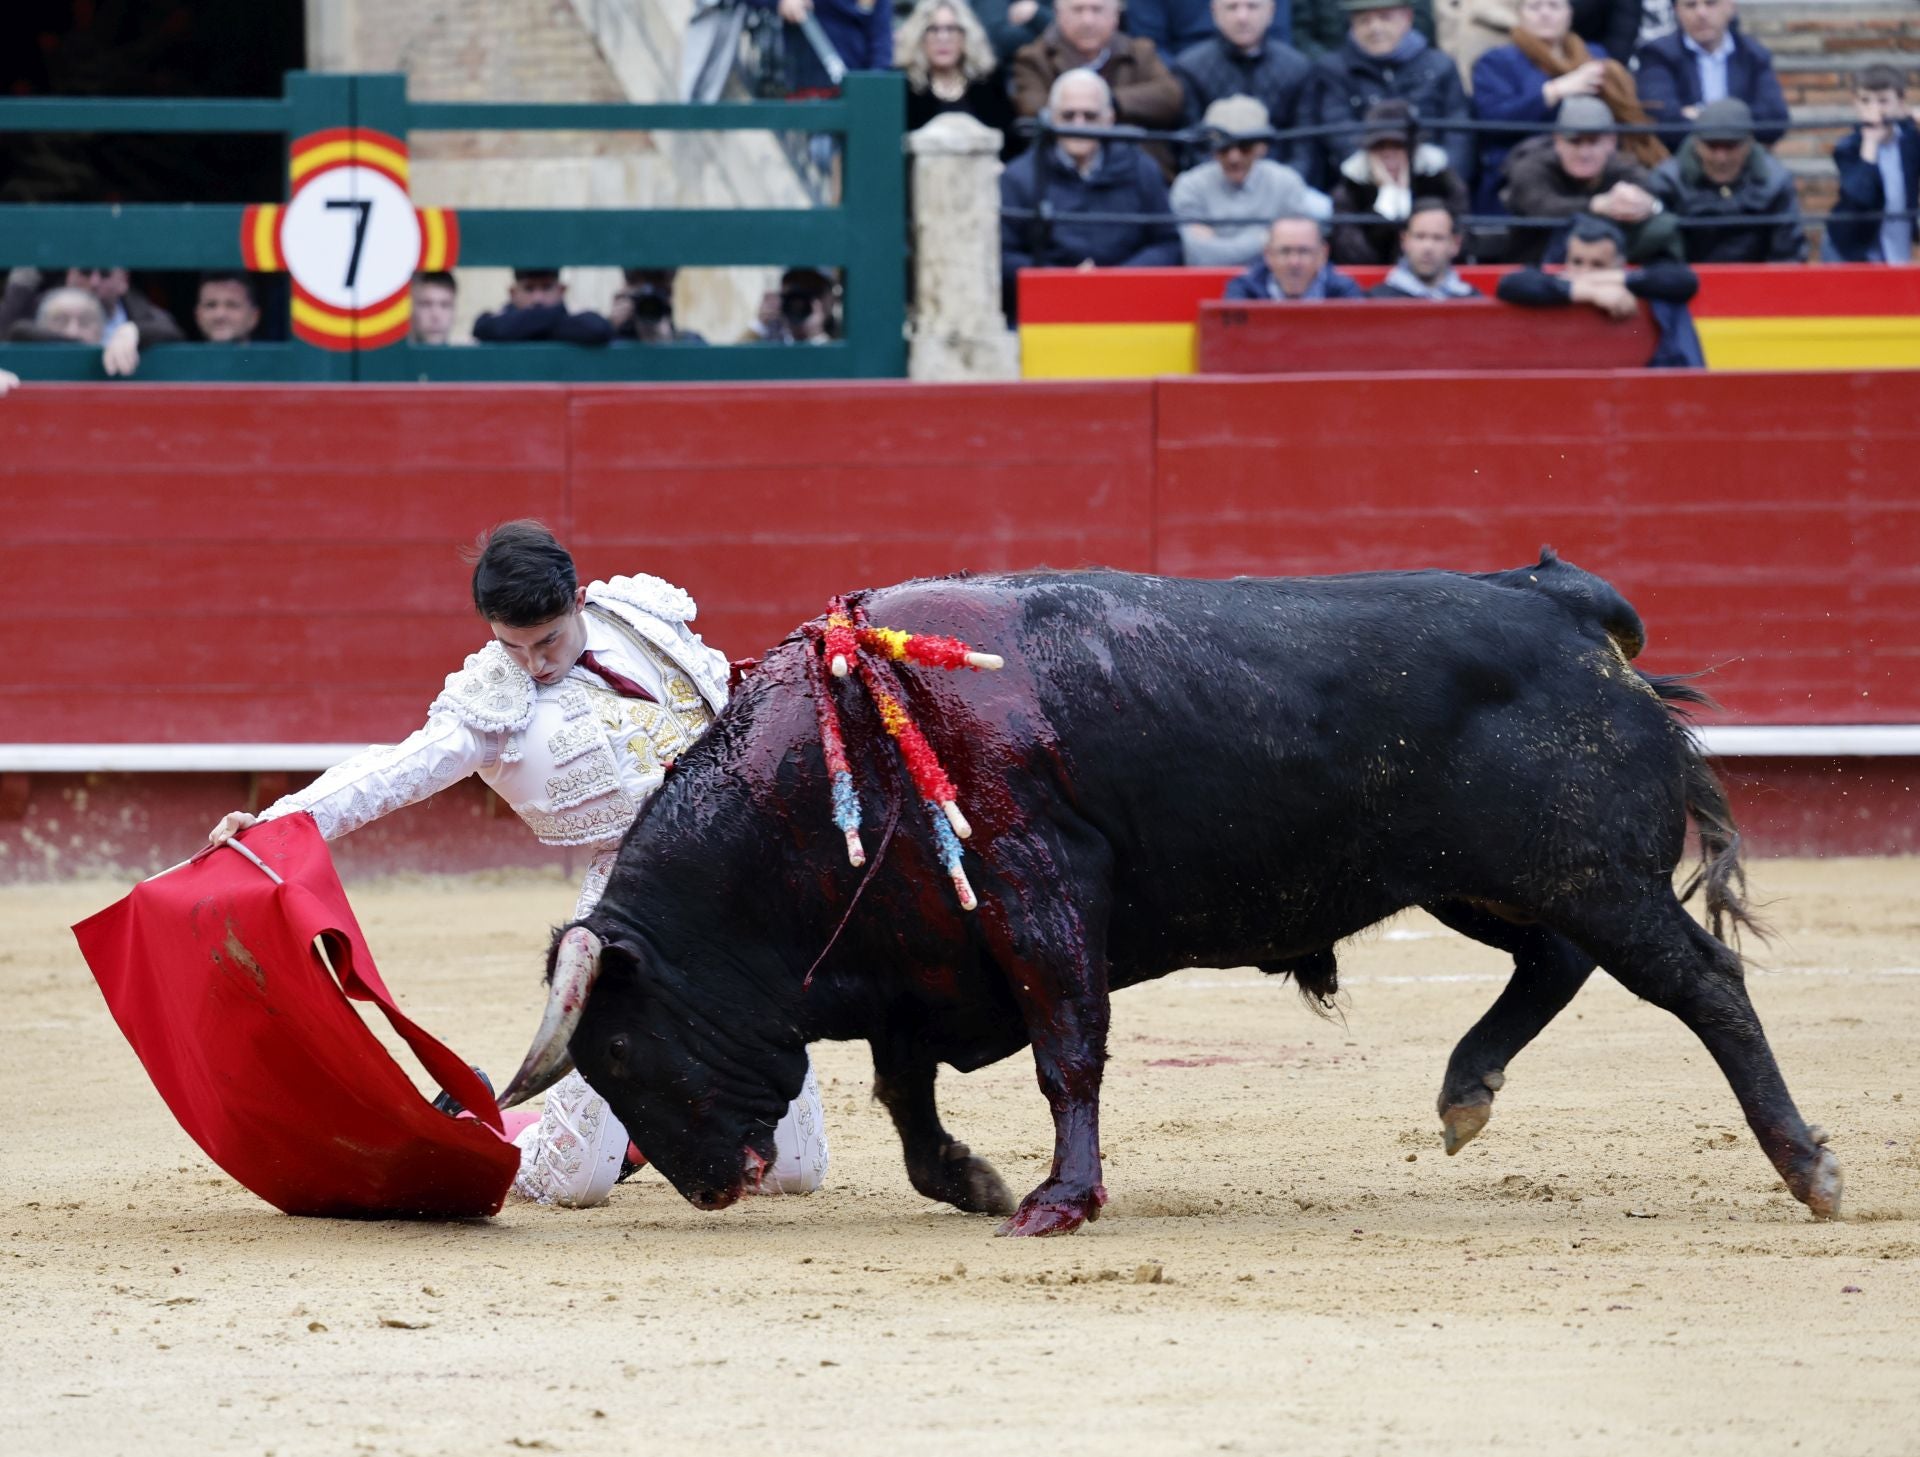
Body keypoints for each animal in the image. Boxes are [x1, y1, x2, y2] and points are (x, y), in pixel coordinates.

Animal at [503, 564, 1835, 1236]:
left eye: (622, 1047)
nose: (704, 1182)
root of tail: (1566, 607)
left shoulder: (1038, 896)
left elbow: (1067, 1052)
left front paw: (1056, 1200)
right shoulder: (920, 949)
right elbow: (904, 1090)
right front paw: (975, 1181)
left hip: (1589, 872)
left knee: (1702, 982)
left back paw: (1807, 1166)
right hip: (1478, 877)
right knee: (1554, 962)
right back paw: (1466, 1092)